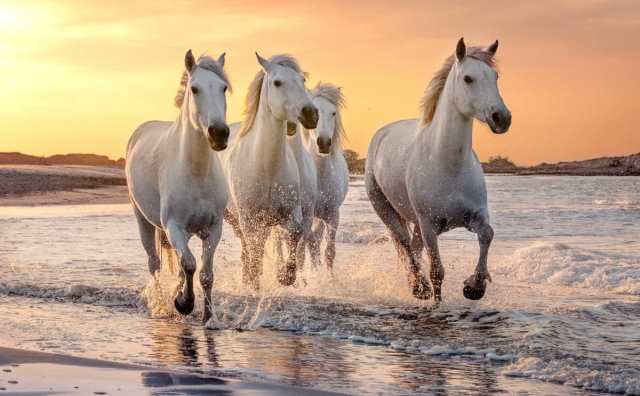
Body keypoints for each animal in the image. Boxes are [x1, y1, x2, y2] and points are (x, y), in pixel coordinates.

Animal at [126, 50, 231, 322]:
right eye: (194, 89)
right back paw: (161, 303)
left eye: (223, 88)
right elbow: (190, 264)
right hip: (144, 221)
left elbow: (205, 273)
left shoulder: (213, 228)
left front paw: (208, 317)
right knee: (154, 264)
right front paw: (184, 303)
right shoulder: (173, 226)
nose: (219, 133)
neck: (196, 173)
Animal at [364, 38, 510, 302]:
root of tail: (382, 133)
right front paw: (437, 300)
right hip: (386, 210)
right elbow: (437, 273)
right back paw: (419, 287)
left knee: (413, 247)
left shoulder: (475, 216)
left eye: (495, 76)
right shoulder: (429, 225)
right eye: (468, 78)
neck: (449, 165)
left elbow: (487, 234)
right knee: (405, 244)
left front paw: (475, 286)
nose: (501, 118)